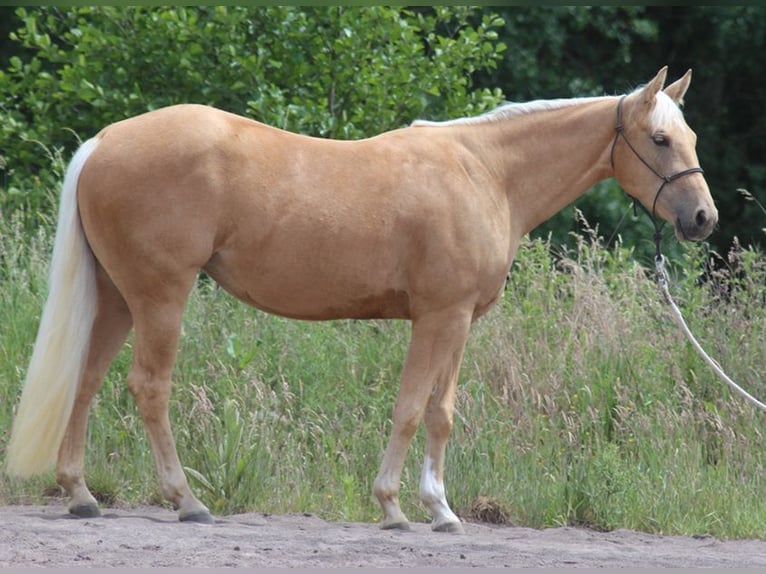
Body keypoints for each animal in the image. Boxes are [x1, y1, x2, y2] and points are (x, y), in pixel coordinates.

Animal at [6, 67, 717, 533]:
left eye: (691, 140)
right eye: (659, 140)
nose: (703, 219)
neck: (484, 172)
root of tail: (103, 142)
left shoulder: (458, 323)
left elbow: (441, 413)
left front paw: (441, 509)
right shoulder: (439, 317)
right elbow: (409, 410)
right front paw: (396, 507)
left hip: (117, 298)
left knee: (85, 381)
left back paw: (80, 495)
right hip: (160, 297)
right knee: (149, 388)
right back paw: (187, 500)